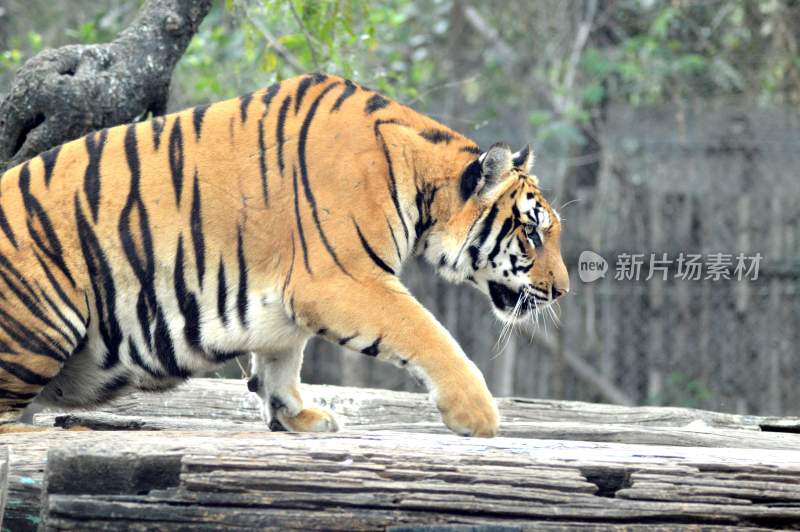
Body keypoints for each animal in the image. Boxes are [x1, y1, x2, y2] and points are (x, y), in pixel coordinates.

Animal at [0, 74, 568, 436]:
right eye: (533, 233)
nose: (562, 289)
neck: (419, 179)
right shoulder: (342, 278)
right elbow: (426, 331)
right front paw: (477, 414)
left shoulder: (287, 294)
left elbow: (281, 356)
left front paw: (295, 415)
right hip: (42, 322)